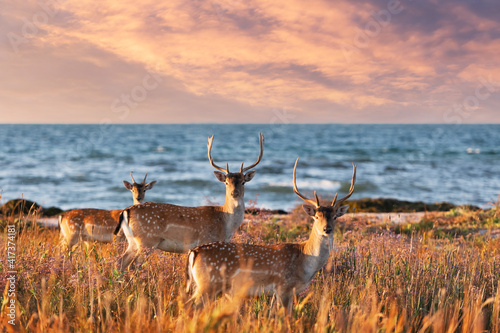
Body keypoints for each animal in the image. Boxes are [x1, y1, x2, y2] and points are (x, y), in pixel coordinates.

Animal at [115, 132, 266, 270]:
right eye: (226, 182)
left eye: (243, 182)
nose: (234, 193)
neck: (225, 224)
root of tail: (126, 211)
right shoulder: (206, 240)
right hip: (147, 240)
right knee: (133, 265)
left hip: (132, 241)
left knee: (120, 263)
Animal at [187, 157, 356, 312]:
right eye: (316, 216)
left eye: (335, 216)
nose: (327, 229)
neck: (305, 263)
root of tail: (194, 252)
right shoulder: (284, 287)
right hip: (209, 283)